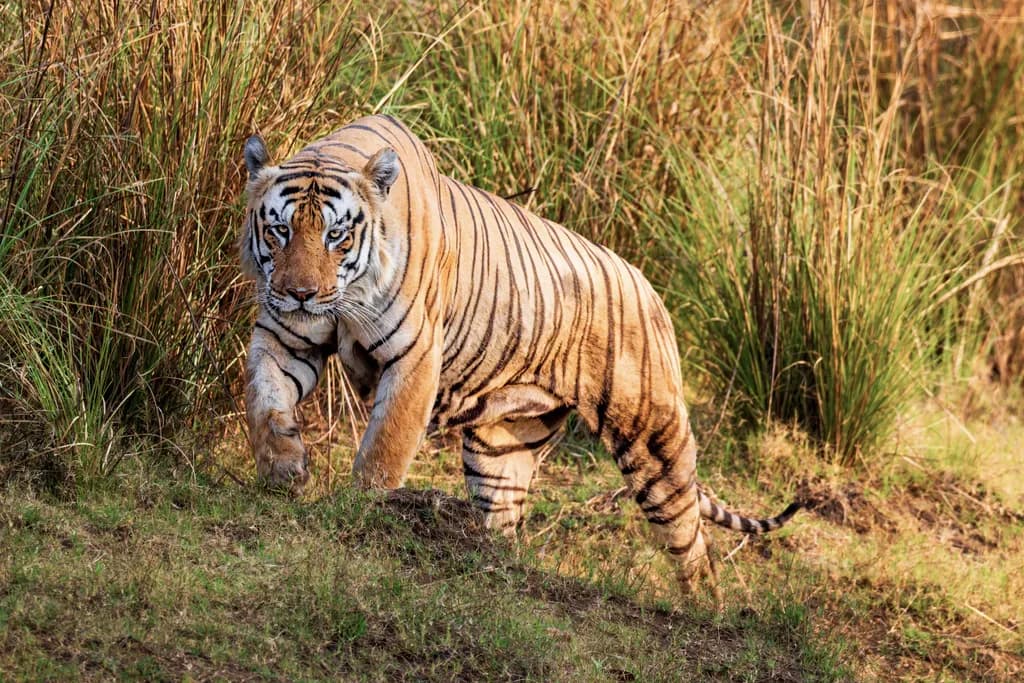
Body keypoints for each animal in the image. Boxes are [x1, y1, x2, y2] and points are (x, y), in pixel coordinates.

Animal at [239, 114, 801, 593]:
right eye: (280, 230)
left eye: (336, 235)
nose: (301, 293)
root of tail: (648, 285)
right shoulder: (284, 334)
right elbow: (264, 400)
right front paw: (283, 469)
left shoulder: (414, 358)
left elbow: (384, 448)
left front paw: (362, 508)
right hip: (501, 447)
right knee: (504, 521)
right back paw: (485, 562)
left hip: (654, 441)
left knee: (692, 545)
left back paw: (701, 607)